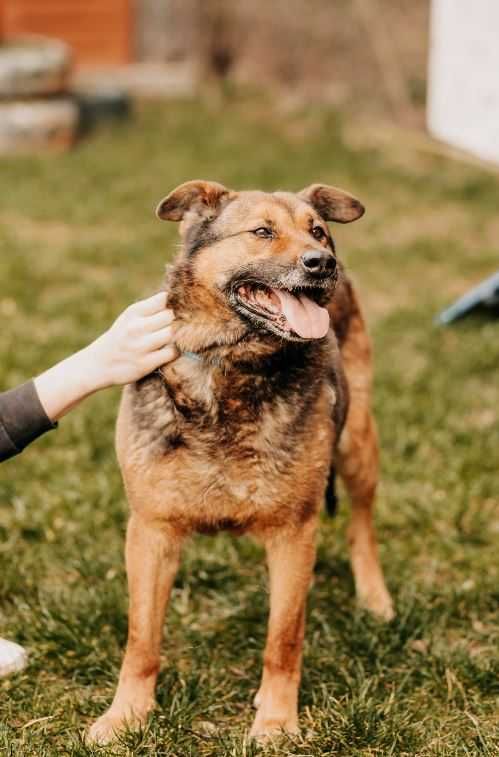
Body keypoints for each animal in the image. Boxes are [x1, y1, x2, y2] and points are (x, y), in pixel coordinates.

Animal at [89, 180, 394, 740]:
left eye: (318, 230)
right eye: (262, 232)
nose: (323, 263)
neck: (230, 366)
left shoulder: (294, 532)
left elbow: (284, 638)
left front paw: (275, 721)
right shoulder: (150, 530)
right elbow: (142, 638)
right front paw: (127, 715)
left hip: (358, 442)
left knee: (362, 523)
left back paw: (374, 597)